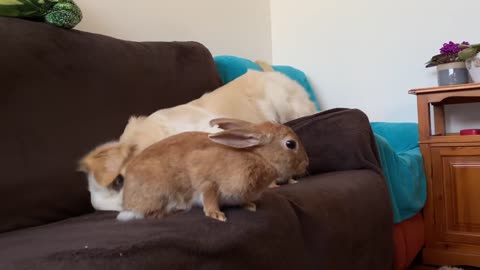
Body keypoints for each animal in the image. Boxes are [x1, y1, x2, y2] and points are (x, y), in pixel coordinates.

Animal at [118, 117, 310, 221]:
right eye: (290, 144)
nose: (306, 163)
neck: (258, 156)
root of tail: (126, 200)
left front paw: (250, 206)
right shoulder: (208, 181)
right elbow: (208, 195)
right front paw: (216, 214)